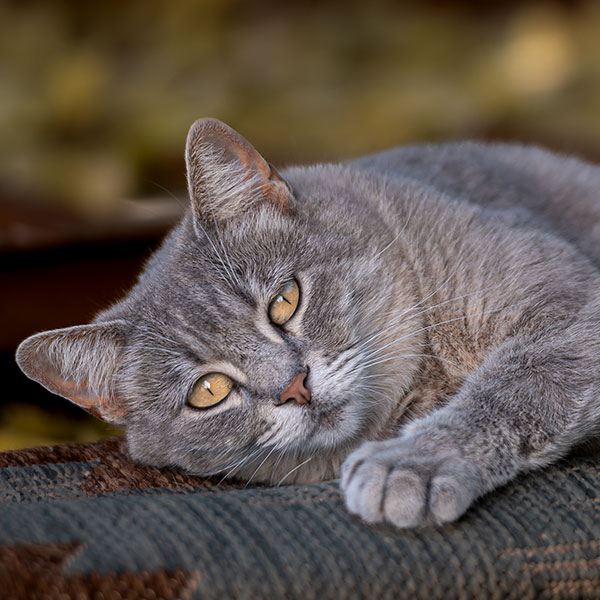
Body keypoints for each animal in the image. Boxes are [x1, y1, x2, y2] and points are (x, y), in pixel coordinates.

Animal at [12, 118, 600, 528]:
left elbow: (514, 384)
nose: (295, 386)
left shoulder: (566, 300)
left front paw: (412, 462)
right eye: (208, 391)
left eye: (284, 301)